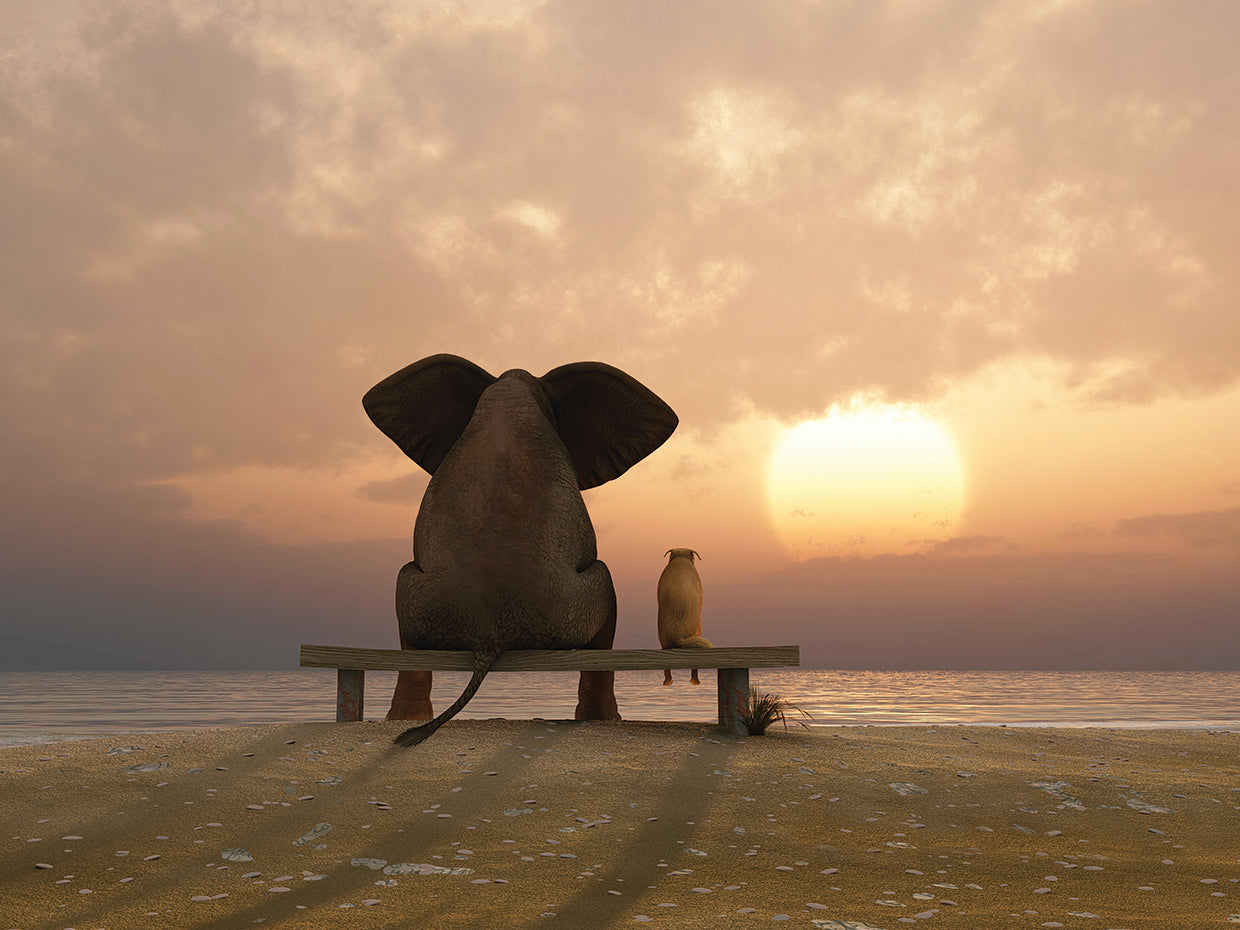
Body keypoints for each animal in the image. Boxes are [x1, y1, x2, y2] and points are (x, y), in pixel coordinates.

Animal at [363, 354, 678, 746]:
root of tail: (488, 638)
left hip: (419, 600)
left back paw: (402, 722)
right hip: (570, 607)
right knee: (606, 593)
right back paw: (602, 720)